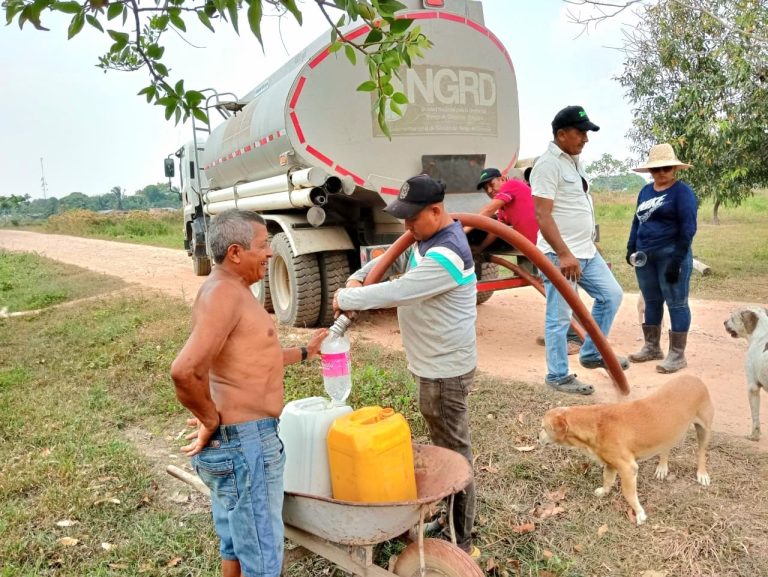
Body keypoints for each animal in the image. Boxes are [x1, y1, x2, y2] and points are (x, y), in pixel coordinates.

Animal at [540, 376, 712, 524]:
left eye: (543, 428)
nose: (536, 436)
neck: (595, 424)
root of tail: (695, 378)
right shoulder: (610, 464)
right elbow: (607, 480)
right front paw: (604, 492)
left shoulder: (628, 469)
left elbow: (628, 494)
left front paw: (639, 512)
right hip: (669, 432)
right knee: (666, 448)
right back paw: (662, 467)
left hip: (703, 430)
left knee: (702, 453)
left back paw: (702, 473)